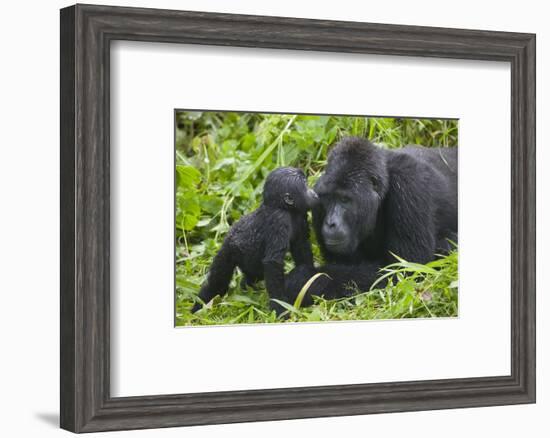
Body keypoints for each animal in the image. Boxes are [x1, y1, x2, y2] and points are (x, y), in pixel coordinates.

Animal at [286, 137, 460, 302]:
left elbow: (404, 270)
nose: (330, 223)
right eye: (328, 199)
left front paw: (303, 280)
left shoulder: (410, 184)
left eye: (344, 200)